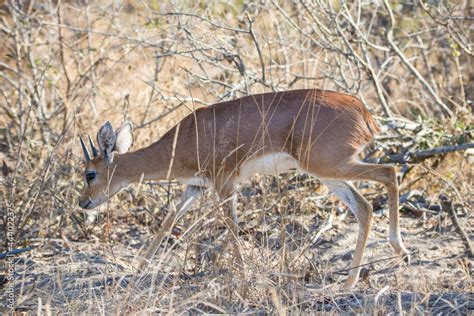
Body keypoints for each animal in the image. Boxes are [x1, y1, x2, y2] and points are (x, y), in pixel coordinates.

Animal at [78, 88, 412, 286]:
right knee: (365, 207)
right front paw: (137, 267)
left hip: (329, 166)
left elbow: (231, 226)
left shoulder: (225, 183)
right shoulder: (197, 187)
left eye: (90, 173)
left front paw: (243, 273)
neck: (182, 140)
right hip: (327, 172)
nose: (83, 203)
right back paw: (355, 278)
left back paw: (393, 254)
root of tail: (363, 112)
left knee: (390, 171)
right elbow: (169, 221)